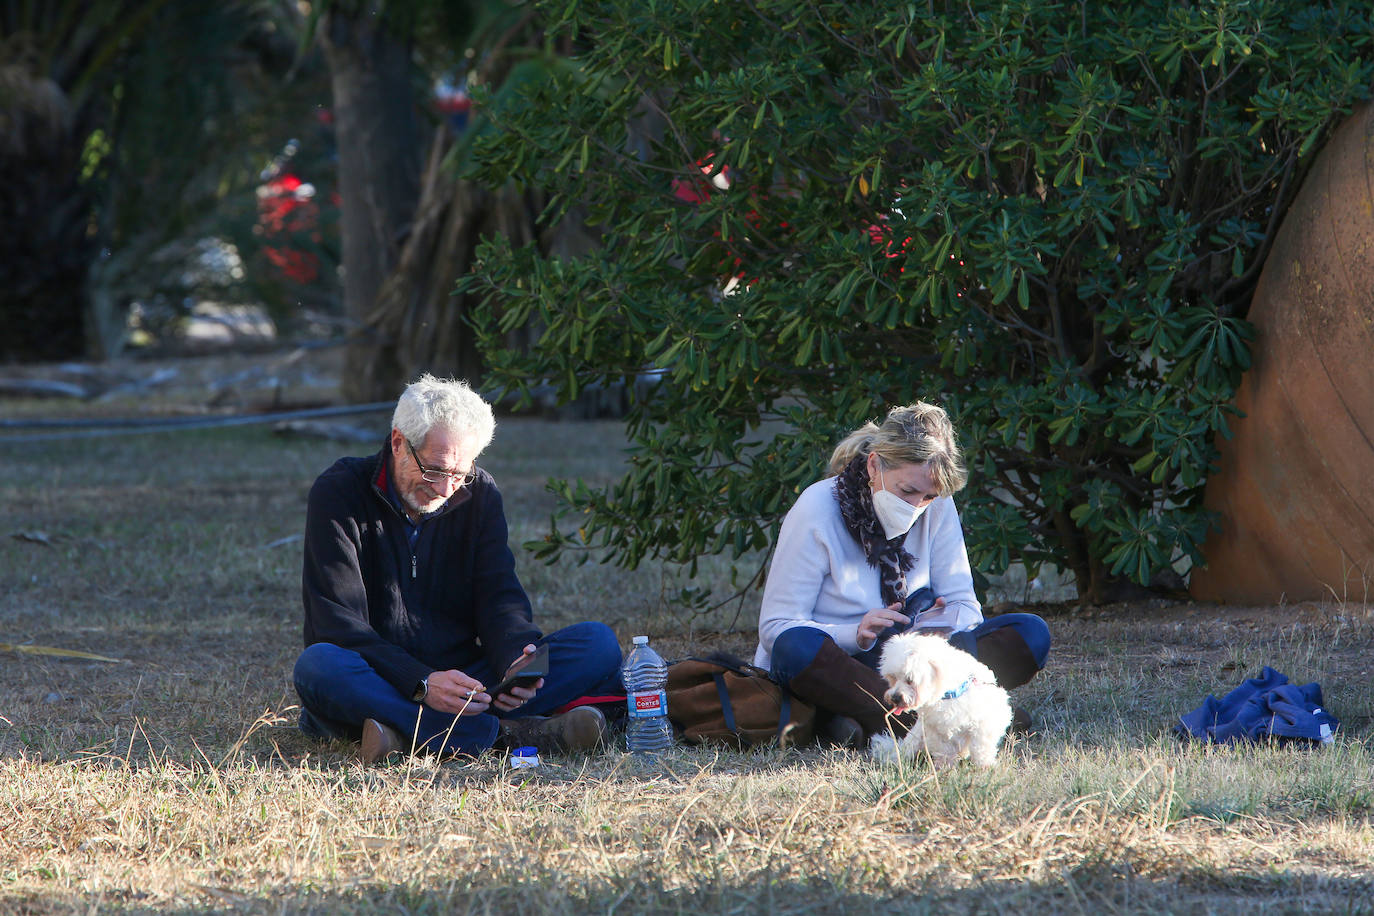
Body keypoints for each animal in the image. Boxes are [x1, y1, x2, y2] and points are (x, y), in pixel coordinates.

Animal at [868, 634, 1011, 769]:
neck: (949, 695)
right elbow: (944, 749)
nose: (895, 698)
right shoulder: (934, 729)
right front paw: (945, 766)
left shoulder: (985, 722)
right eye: (893, 678)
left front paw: (985, 766)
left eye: (910, 680)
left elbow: (981, 747)